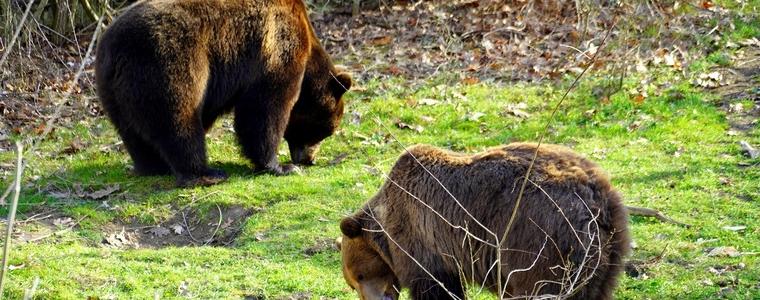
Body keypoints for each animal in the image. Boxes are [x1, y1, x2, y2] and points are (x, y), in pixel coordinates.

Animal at [95, 0, 354, 186]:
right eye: (326, 130)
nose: (308, 159)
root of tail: (113, 49)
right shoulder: (277, 51)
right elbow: (264, 110)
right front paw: (279, 166)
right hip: (168, 63)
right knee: (179, 120)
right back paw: (206, 173)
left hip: (112, 91)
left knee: (133, 132)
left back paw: (153, 166)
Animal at [340, 144, 628, 300]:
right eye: (354, 282)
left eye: (359, 276)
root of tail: (598, 197)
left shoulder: (420, 234)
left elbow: (434, 285)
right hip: (607, 252)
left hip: (543, 241)